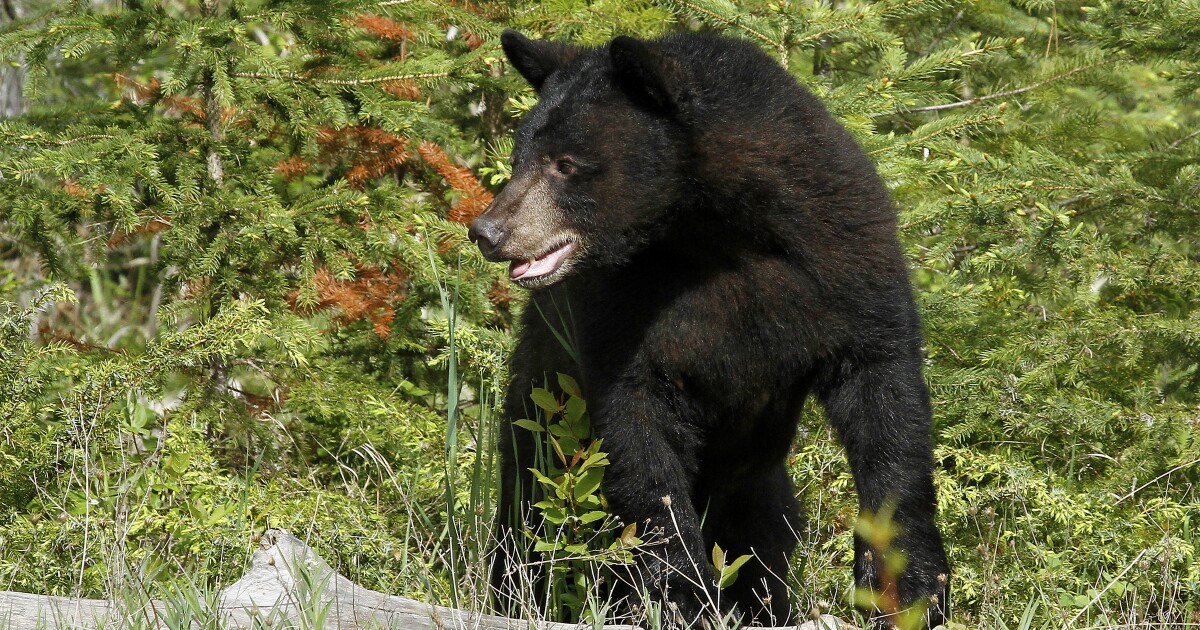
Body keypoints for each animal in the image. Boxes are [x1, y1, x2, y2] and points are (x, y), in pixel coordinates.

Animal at [469, 29, 951, 628]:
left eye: (565, 163)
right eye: (520, 157)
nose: (488, 230)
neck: (714, 232)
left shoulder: (843, 261)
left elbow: (884, 396)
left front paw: (910, 585)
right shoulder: (622, 307)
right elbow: (639, 430)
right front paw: (682, 593)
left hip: (755, 485)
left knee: (763, 537)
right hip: (545, 415)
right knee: (528, 511)